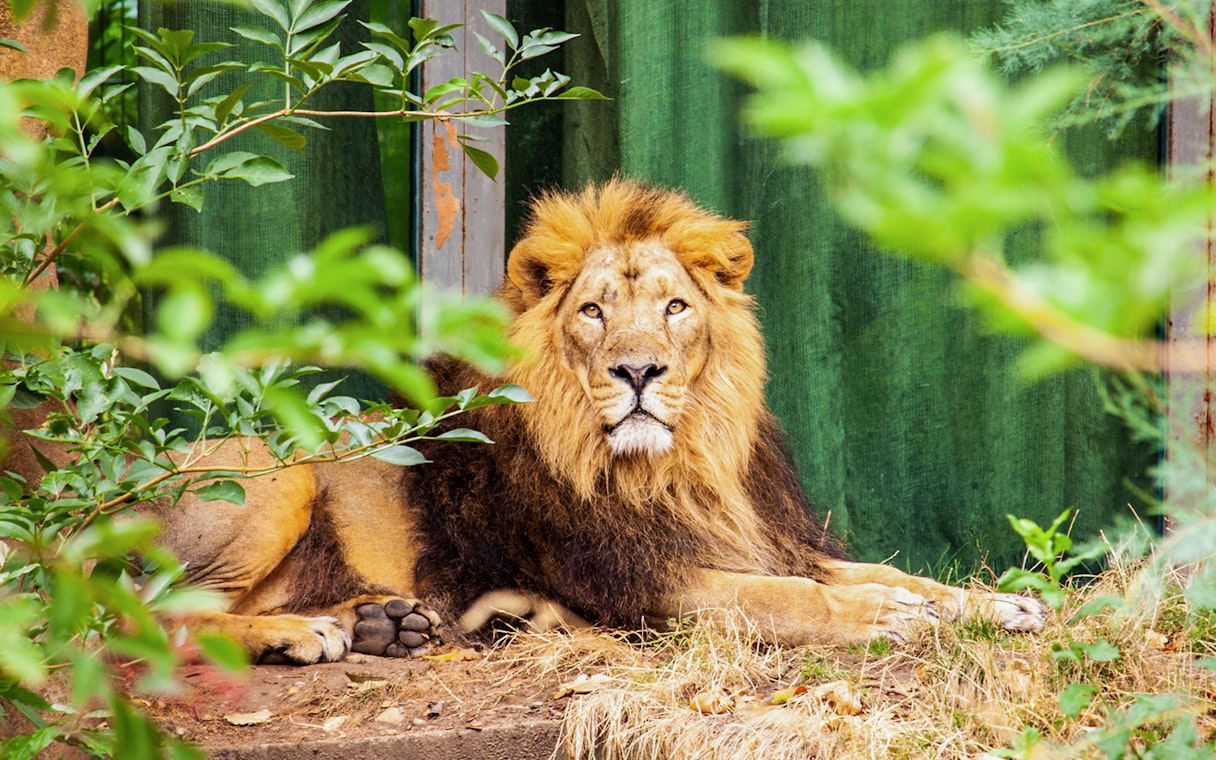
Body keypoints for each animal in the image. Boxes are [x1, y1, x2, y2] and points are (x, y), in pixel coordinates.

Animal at [150, 179, 1047, 664]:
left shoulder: (764, 539)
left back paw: (378, 623)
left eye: (675, 307)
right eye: (593, 312)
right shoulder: (641, 584)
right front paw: (882, 617)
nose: (639, 371)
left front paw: (998, 604)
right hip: (271, 469)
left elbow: (889, 574)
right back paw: (301, 634)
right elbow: (786, 600)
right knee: (152, 616)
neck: (678, 467)